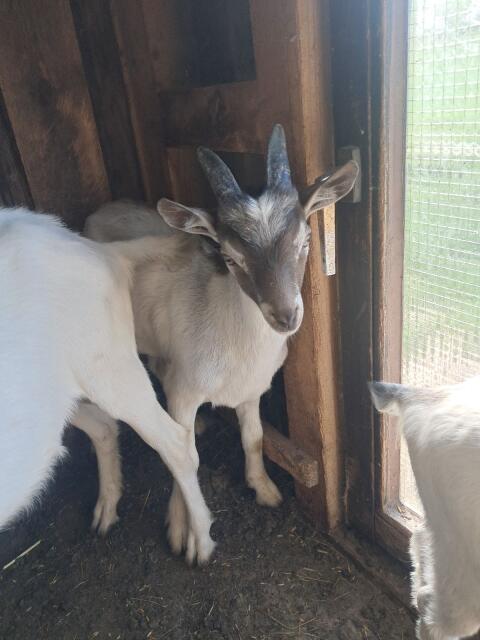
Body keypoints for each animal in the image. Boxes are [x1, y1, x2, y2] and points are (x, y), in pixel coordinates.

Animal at [0, 207, 214, 565]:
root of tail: (103, 252)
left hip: (109, 364)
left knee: (175, 442)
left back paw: (200, 541)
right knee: (103, 425)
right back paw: (106, 510)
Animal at [84, 124, 358, 556]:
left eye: (304, 241)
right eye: (231, 257)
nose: (286, 315)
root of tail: (102, 210)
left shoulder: (250, 388)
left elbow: (254, 438)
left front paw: (264, 489)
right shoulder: (186, 391)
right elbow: (182, 457)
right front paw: (185, 531)